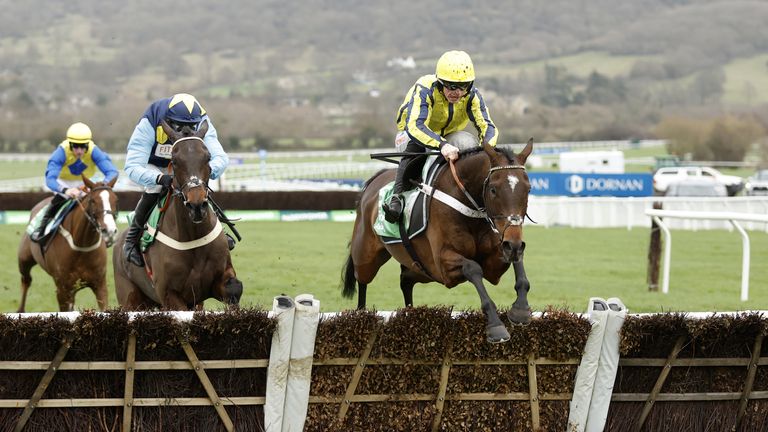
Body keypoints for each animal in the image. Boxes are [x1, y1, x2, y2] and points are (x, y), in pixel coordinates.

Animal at [17, 176, 119, 310]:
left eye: (115, 200)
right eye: (92, 201)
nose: (110, 231)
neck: (82, 246)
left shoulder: (100, 285)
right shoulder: (63, 289)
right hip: (24, 261)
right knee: (26, 280)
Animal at [111, 120, 242, 310]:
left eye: (208, 157)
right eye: (174, 160)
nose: (197, 205)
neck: (193, 237)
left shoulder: (217, 282)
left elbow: (234, 288)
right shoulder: (169, 295)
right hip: (130, 299)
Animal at [342, 140, 536, 342]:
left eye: (528, 188)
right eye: (493, 190)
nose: (513, 244)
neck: (466, 204)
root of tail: (374, 181)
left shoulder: (494, 261)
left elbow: (517, 264)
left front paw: (520, 310)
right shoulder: (444, 264)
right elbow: (473, 268)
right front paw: (496, 326)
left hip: (421, 269)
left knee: (405, 281)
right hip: (366, 257)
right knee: (362, 282)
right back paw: (361, 319)